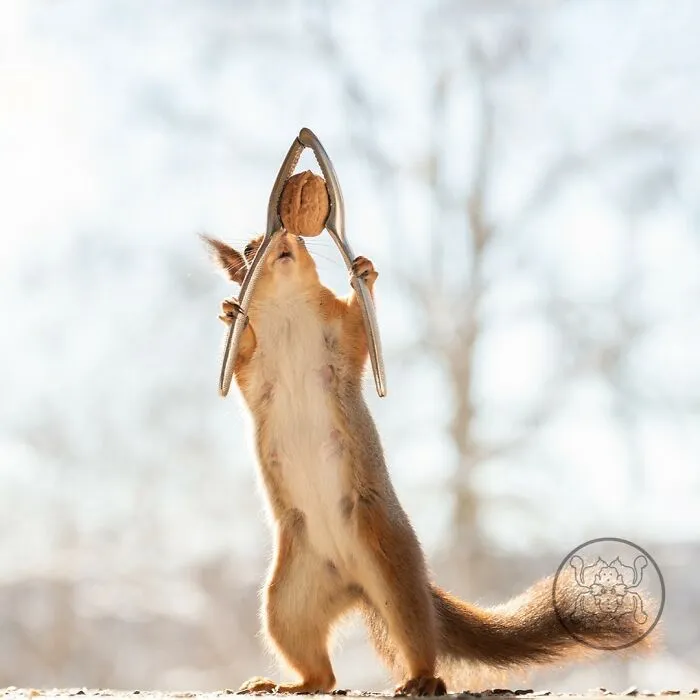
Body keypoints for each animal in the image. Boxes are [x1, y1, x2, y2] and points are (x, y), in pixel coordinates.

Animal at [203, 231, 653, 696]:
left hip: (394, 577)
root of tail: (354, 585)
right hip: (288, 604)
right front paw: (228, 311)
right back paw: (286, 683)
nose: (282, 238)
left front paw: (365, 271)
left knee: (416, 641)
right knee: (321, 673)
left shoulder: (339, 336)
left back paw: (422, 679)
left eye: (299, 240)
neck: (289, 304)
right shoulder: (254, 372)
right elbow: (242, 360)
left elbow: (358, 329)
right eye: (249, 249)